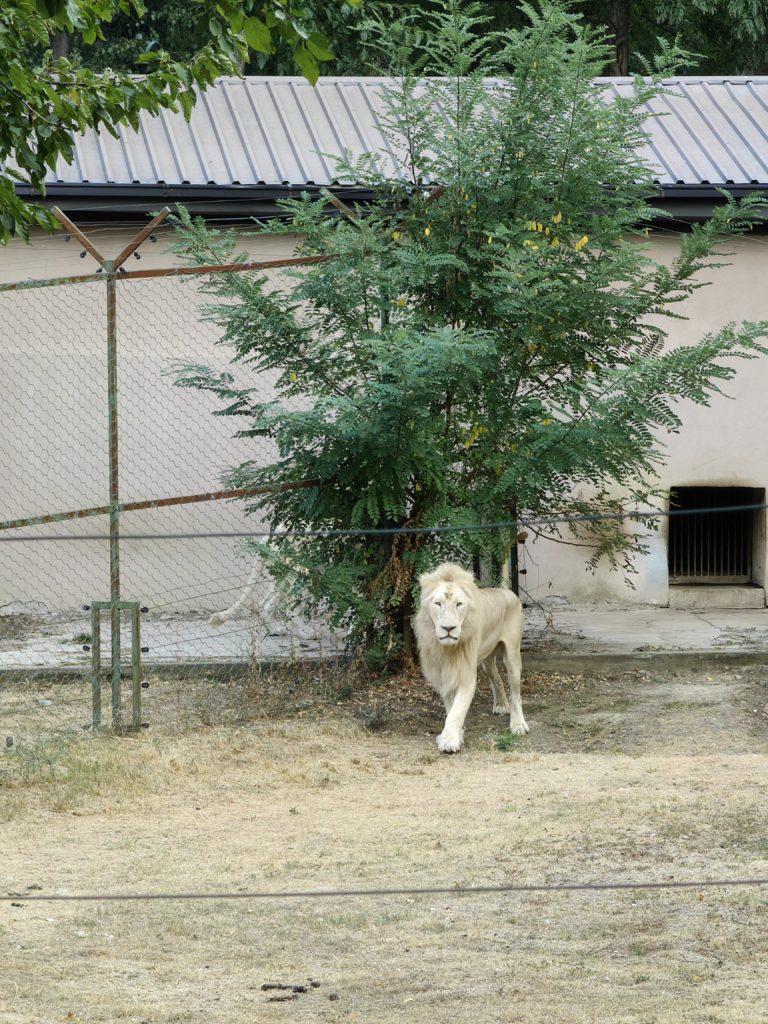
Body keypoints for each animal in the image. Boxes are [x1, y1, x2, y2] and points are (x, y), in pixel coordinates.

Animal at [415, 561, 528, 753]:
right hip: (487, 660)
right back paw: (501, 706)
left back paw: (518, 724)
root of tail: (505, 591)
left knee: (516, 693)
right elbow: (451, 708)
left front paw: (449, 741)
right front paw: (456, 735)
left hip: (512, 655)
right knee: (496, 679)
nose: (448, 628)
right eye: (438, 603)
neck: (448, 650)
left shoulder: (465, 675)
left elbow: (457, 710)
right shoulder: (446, 674)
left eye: (459, 604)